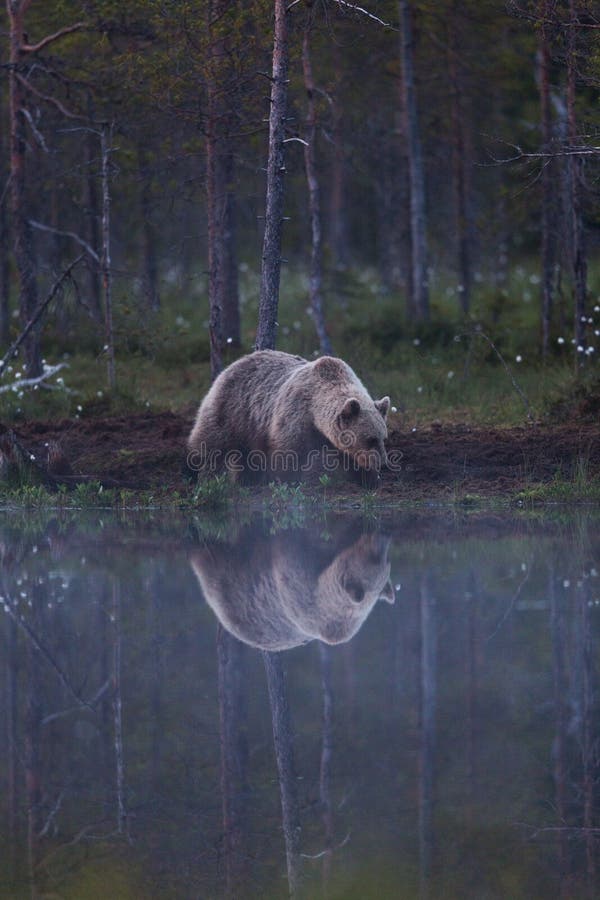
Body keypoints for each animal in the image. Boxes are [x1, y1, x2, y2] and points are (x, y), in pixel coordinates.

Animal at [190, 350, 392, 486]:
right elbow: (287, 452)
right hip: (233, 408)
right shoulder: (296, 415)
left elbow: (352, 457)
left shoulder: (335, 437)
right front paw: (286, 481)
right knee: (212, 442)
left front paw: (368, 479)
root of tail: (235, 362)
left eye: (383, 438)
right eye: (370, 439)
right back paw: (206, 477)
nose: (384, 465)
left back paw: (247, 480)